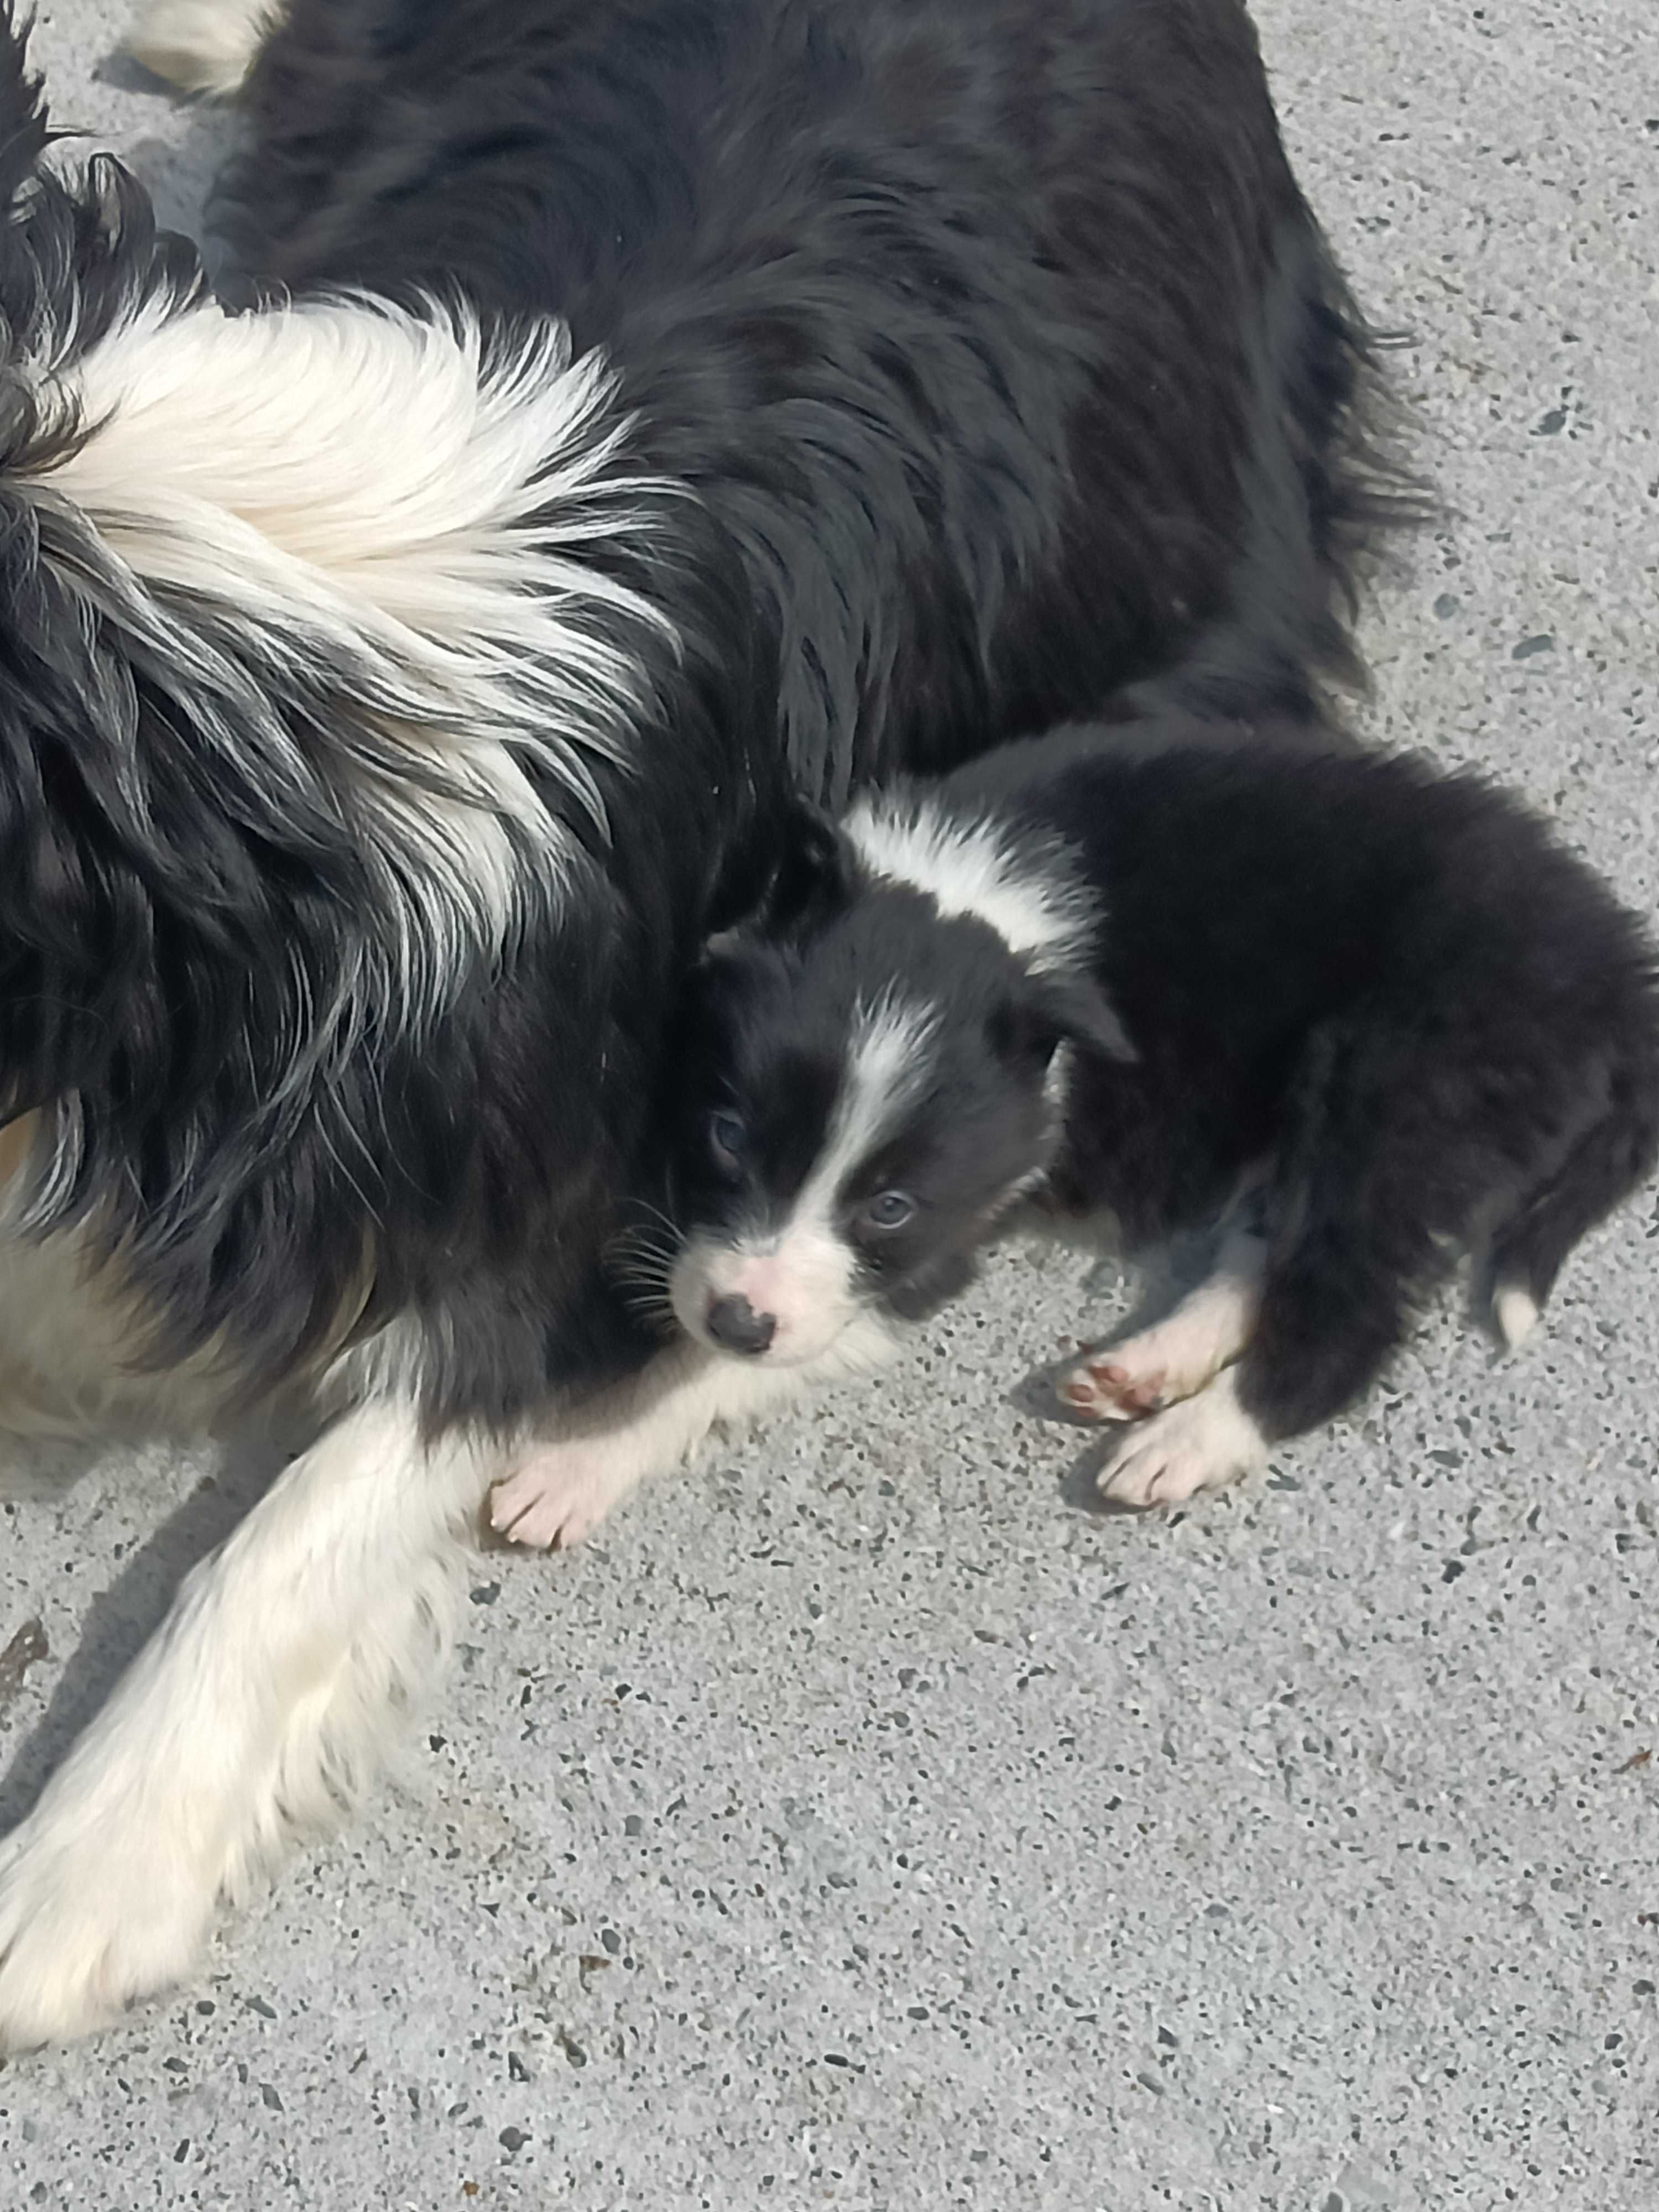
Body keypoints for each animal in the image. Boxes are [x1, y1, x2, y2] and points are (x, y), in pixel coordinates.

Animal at [498, 717, 1659, 1548]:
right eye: (729, 1135)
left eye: (890, 1206)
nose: (740, 1317)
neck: (993, 918)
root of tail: (1614, 964)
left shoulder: (930, 1252)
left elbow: (697, 1375)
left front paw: (574, 1462)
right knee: (1278, 1238)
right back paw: (1147, 1365)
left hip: (1408, 1087)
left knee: (1346, 1308)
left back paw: (1188, 1436)